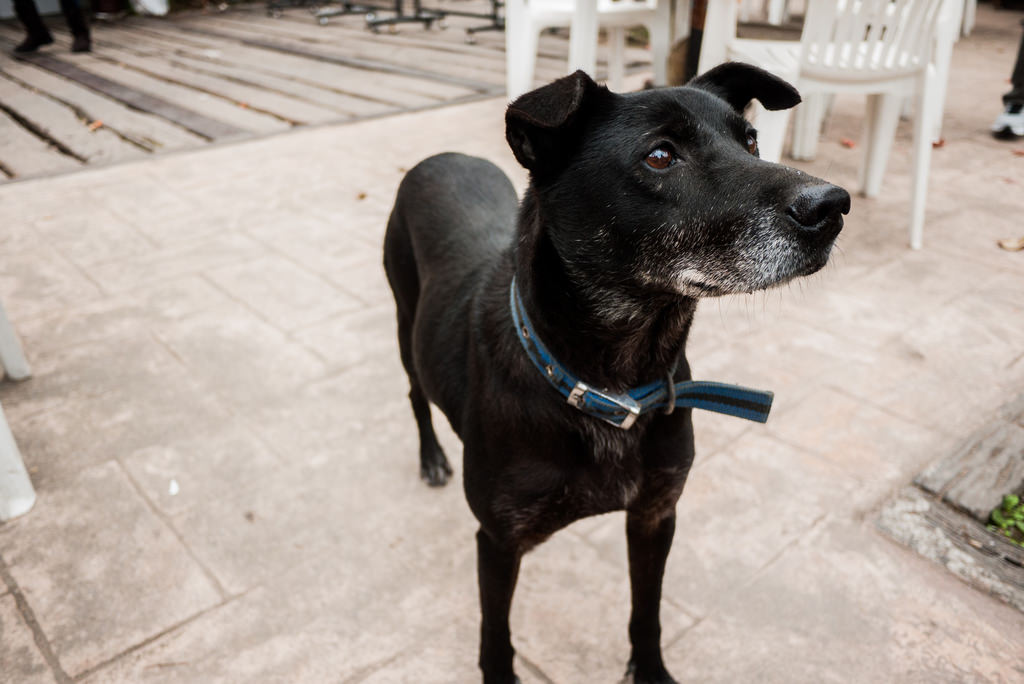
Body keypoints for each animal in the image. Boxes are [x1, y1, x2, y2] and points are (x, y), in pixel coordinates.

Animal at [382, 63, 847, 684]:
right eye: (660, 156)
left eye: (750, 141)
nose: (833, 205)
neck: (615, 383)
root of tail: (439, 157)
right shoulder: (498, 540)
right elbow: (495, 636)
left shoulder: (655, 515)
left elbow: (646, 612)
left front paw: (650, 670)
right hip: (405, 323)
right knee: (415, 395)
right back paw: (431, 457)